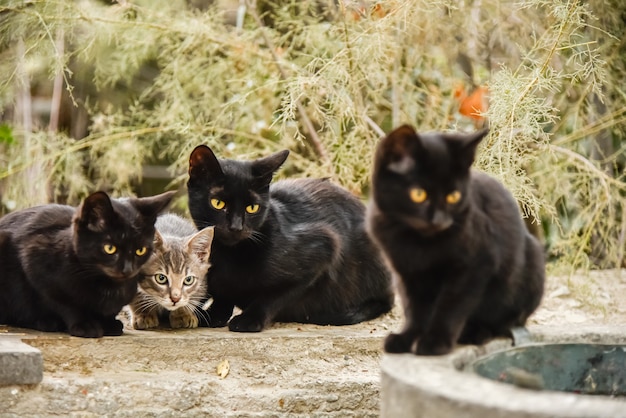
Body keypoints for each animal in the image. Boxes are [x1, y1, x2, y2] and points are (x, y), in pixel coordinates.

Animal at [0, 191, 174, 338]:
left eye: (140, 250)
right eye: (110, 248)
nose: (128, 269)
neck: (108, 286)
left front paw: (108, 323)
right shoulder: (33, 259)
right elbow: (65, 303)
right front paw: (85, 324)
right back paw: (46, 322)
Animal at [185, 145, 392, 332]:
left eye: (252, 208)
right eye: (218, 203)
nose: (236, 227)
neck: (228, 255)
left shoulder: (325, 246)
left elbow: (274, 296)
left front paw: (249, 319)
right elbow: (223, 294)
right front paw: (214, 314)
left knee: (384, 302)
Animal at [366, 125, 540, 356]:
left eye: (454, 196)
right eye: (419, 194)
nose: (439, 220)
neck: (418, 243)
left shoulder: (475, 264)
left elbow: (450, 306)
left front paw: (434, 342)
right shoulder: (406, 272)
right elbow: (415, 308)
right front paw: (407, 337)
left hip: (530, 263)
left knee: (505, 321)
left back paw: (476, 332)